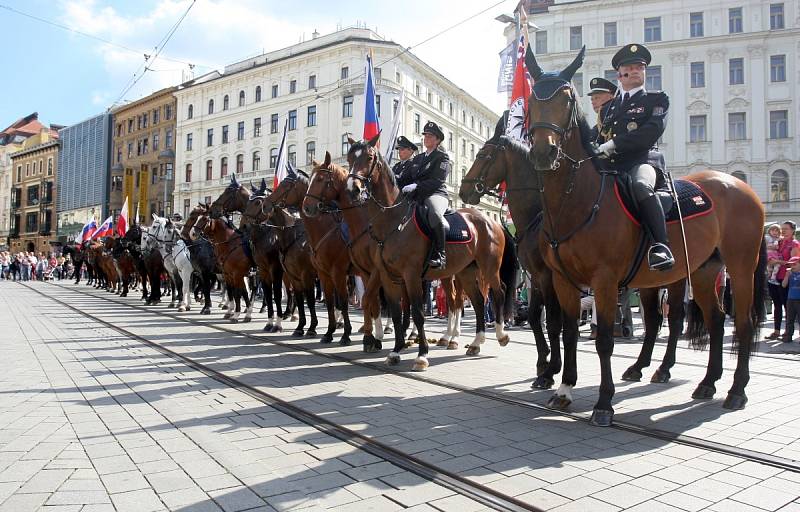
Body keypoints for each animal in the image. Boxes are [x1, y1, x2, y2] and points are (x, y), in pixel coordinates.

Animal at [244, 169, 350, 344]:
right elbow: (298, 299)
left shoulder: (301, 274)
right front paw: (299, 327)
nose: (244, 225)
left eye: (257, 202)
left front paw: (310, 327)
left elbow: (304, 299)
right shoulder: (288, 274)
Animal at [346, 134, 520, 370]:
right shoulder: (388, 276)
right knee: (477, 300)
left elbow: (417, 313)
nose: (353, 188)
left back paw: (500, 335)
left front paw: (421, 355)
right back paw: (476, 342)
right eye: (349, 157)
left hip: (489, 267)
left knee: (498, 292)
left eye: (369, 157)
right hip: (466, 271)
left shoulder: (411, 275)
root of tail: (491, 221)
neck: (394, 221)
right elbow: (396, 312)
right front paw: (396, 351)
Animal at [462, 113, 688, 392]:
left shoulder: (549, 277)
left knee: (675, 319)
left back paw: (665, 367)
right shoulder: (538, 278)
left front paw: (551, 369)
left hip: (677, 278)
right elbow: (537, 318)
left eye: (483, 154)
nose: (463, 190)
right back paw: (640, 367)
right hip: (650, 281)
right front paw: (544, 362)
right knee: (655, 319)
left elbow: (553, 322)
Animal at [520, 48, 768, 426]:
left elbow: (604, 340)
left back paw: (736, 390)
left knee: (741, 323)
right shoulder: (563, 280)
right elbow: (569, 331)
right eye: (534, 99)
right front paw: (564, 389)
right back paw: (708, 382)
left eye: (567, 98)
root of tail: (740, 184)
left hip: (740, 268)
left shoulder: (604, 281)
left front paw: (604, 403)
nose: (543, 153)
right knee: (715, 320)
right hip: (703, 270)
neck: (577, 201)